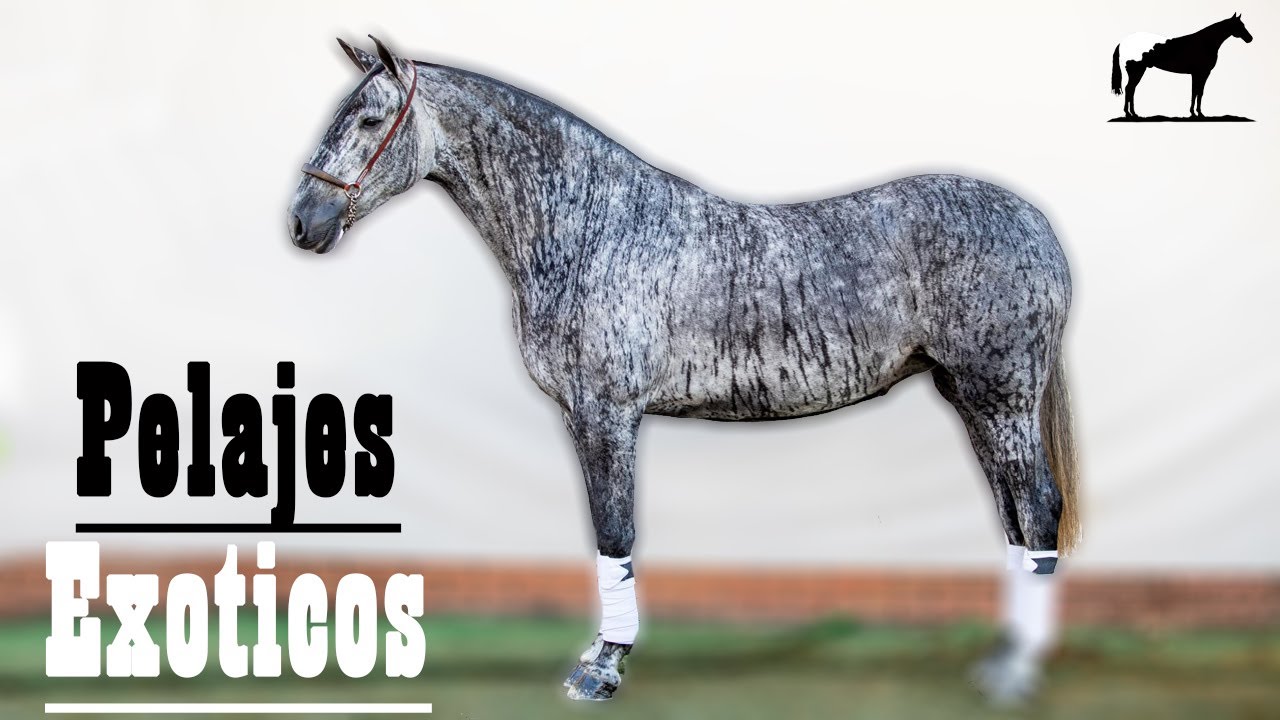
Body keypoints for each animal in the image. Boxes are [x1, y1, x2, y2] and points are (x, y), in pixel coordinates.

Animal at [288, 36, 1080, 704]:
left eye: (370, 118)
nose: (302, 222)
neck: (591, 224)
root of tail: (1034, 223)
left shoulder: (605, 411)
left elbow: (614, 531)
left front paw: (602, 669)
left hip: (1002, 397)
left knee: (1038, 508)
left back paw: (1017, 673)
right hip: (971, 397)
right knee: (1013, 519)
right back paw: (1000, 660)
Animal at [1111, 13, 1253, 118]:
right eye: (1239, 25)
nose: (1250, 38)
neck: (1205, 43)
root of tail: (1123, 42)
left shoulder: (1196, 74)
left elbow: (1195, 92)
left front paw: (1194, 113)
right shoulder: (1202, 73)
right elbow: (1198, 92)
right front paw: (1198, 113)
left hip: (1139, 70)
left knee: (1131, 89)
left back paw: (1133, 113)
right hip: (1137, 70)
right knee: (1129, 89)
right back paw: (1129, 114)